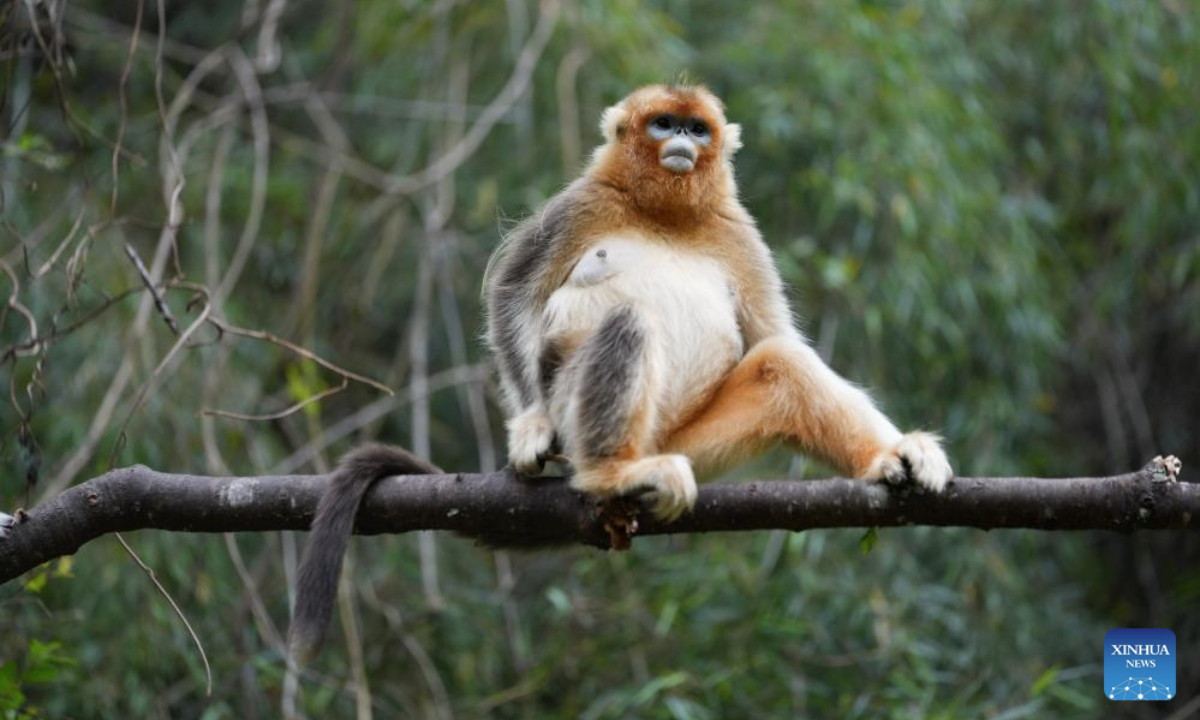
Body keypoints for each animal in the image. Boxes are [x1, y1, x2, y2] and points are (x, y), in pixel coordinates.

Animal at [289, 83, 952, 665]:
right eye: (663, 123)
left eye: (696, 129)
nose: (680, 140)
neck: (665, 214)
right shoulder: (582, 204)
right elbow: (513, 294)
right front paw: (530, 424)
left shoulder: (738, 231)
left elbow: (776, 339)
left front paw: (897, 451)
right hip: (580, 415)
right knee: (628, 322)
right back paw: (611, 474)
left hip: (689, 441)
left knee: (779, 365)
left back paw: (888, 456)